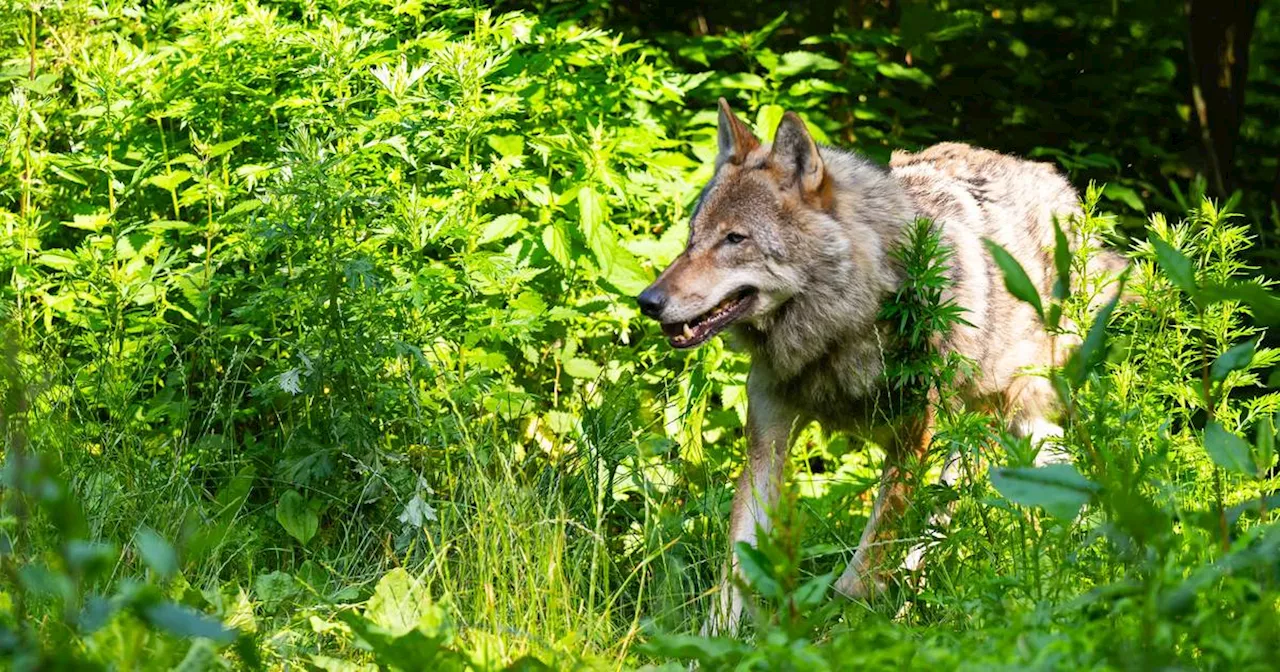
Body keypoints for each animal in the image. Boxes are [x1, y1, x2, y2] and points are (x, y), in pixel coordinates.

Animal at [634, 99, 1126, 634]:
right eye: (692, 238)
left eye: (734, 239)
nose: (647, 301)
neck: (840, 330)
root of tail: (1057, 183)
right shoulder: (768, 443)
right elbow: (733, 574)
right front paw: (708, 644)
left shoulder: (914, 443)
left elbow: (863, 571)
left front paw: (842, 634)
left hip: (990, 429)